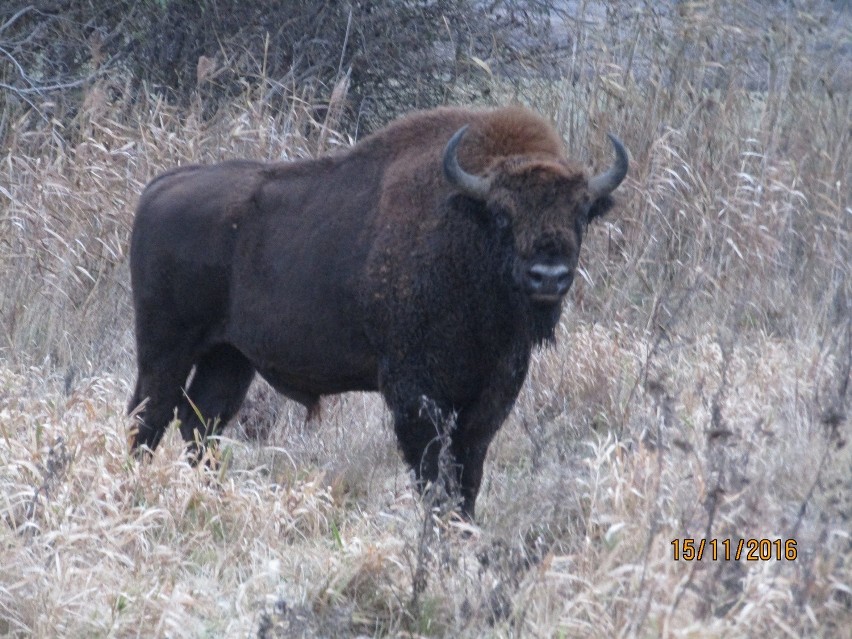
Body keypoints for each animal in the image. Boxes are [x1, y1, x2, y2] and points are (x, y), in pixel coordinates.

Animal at [130, 106, 628, 520]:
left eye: (581, 213)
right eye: (503, 214)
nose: (549, 276)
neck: (466, 226)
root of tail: (158, 188)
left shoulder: (493, 393)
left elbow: (468, 475)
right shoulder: (415, 392)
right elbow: (433, 474)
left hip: (230, 357)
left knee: (199, 422)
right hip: (165, 349)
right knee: (149, 416)